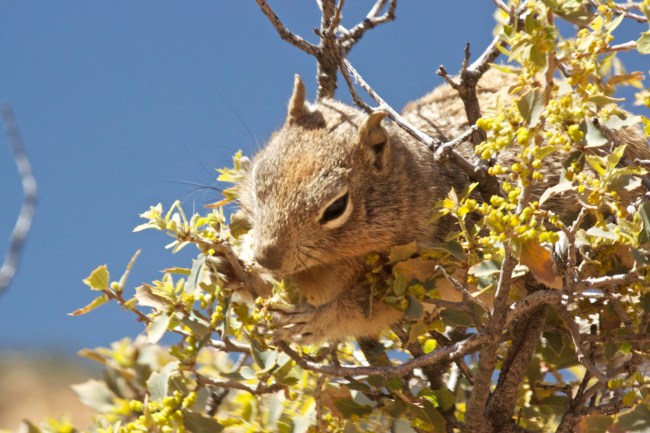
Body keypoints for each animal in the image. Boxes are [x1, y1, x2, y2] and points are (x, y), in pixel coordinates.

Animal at [235, 69, 650, 343]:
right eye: (258, 177)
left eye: (336, 208)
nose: (267, 256)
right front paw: (244, 273)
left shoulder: (432, 268)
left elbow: (371, 308)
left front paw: (315, 321)